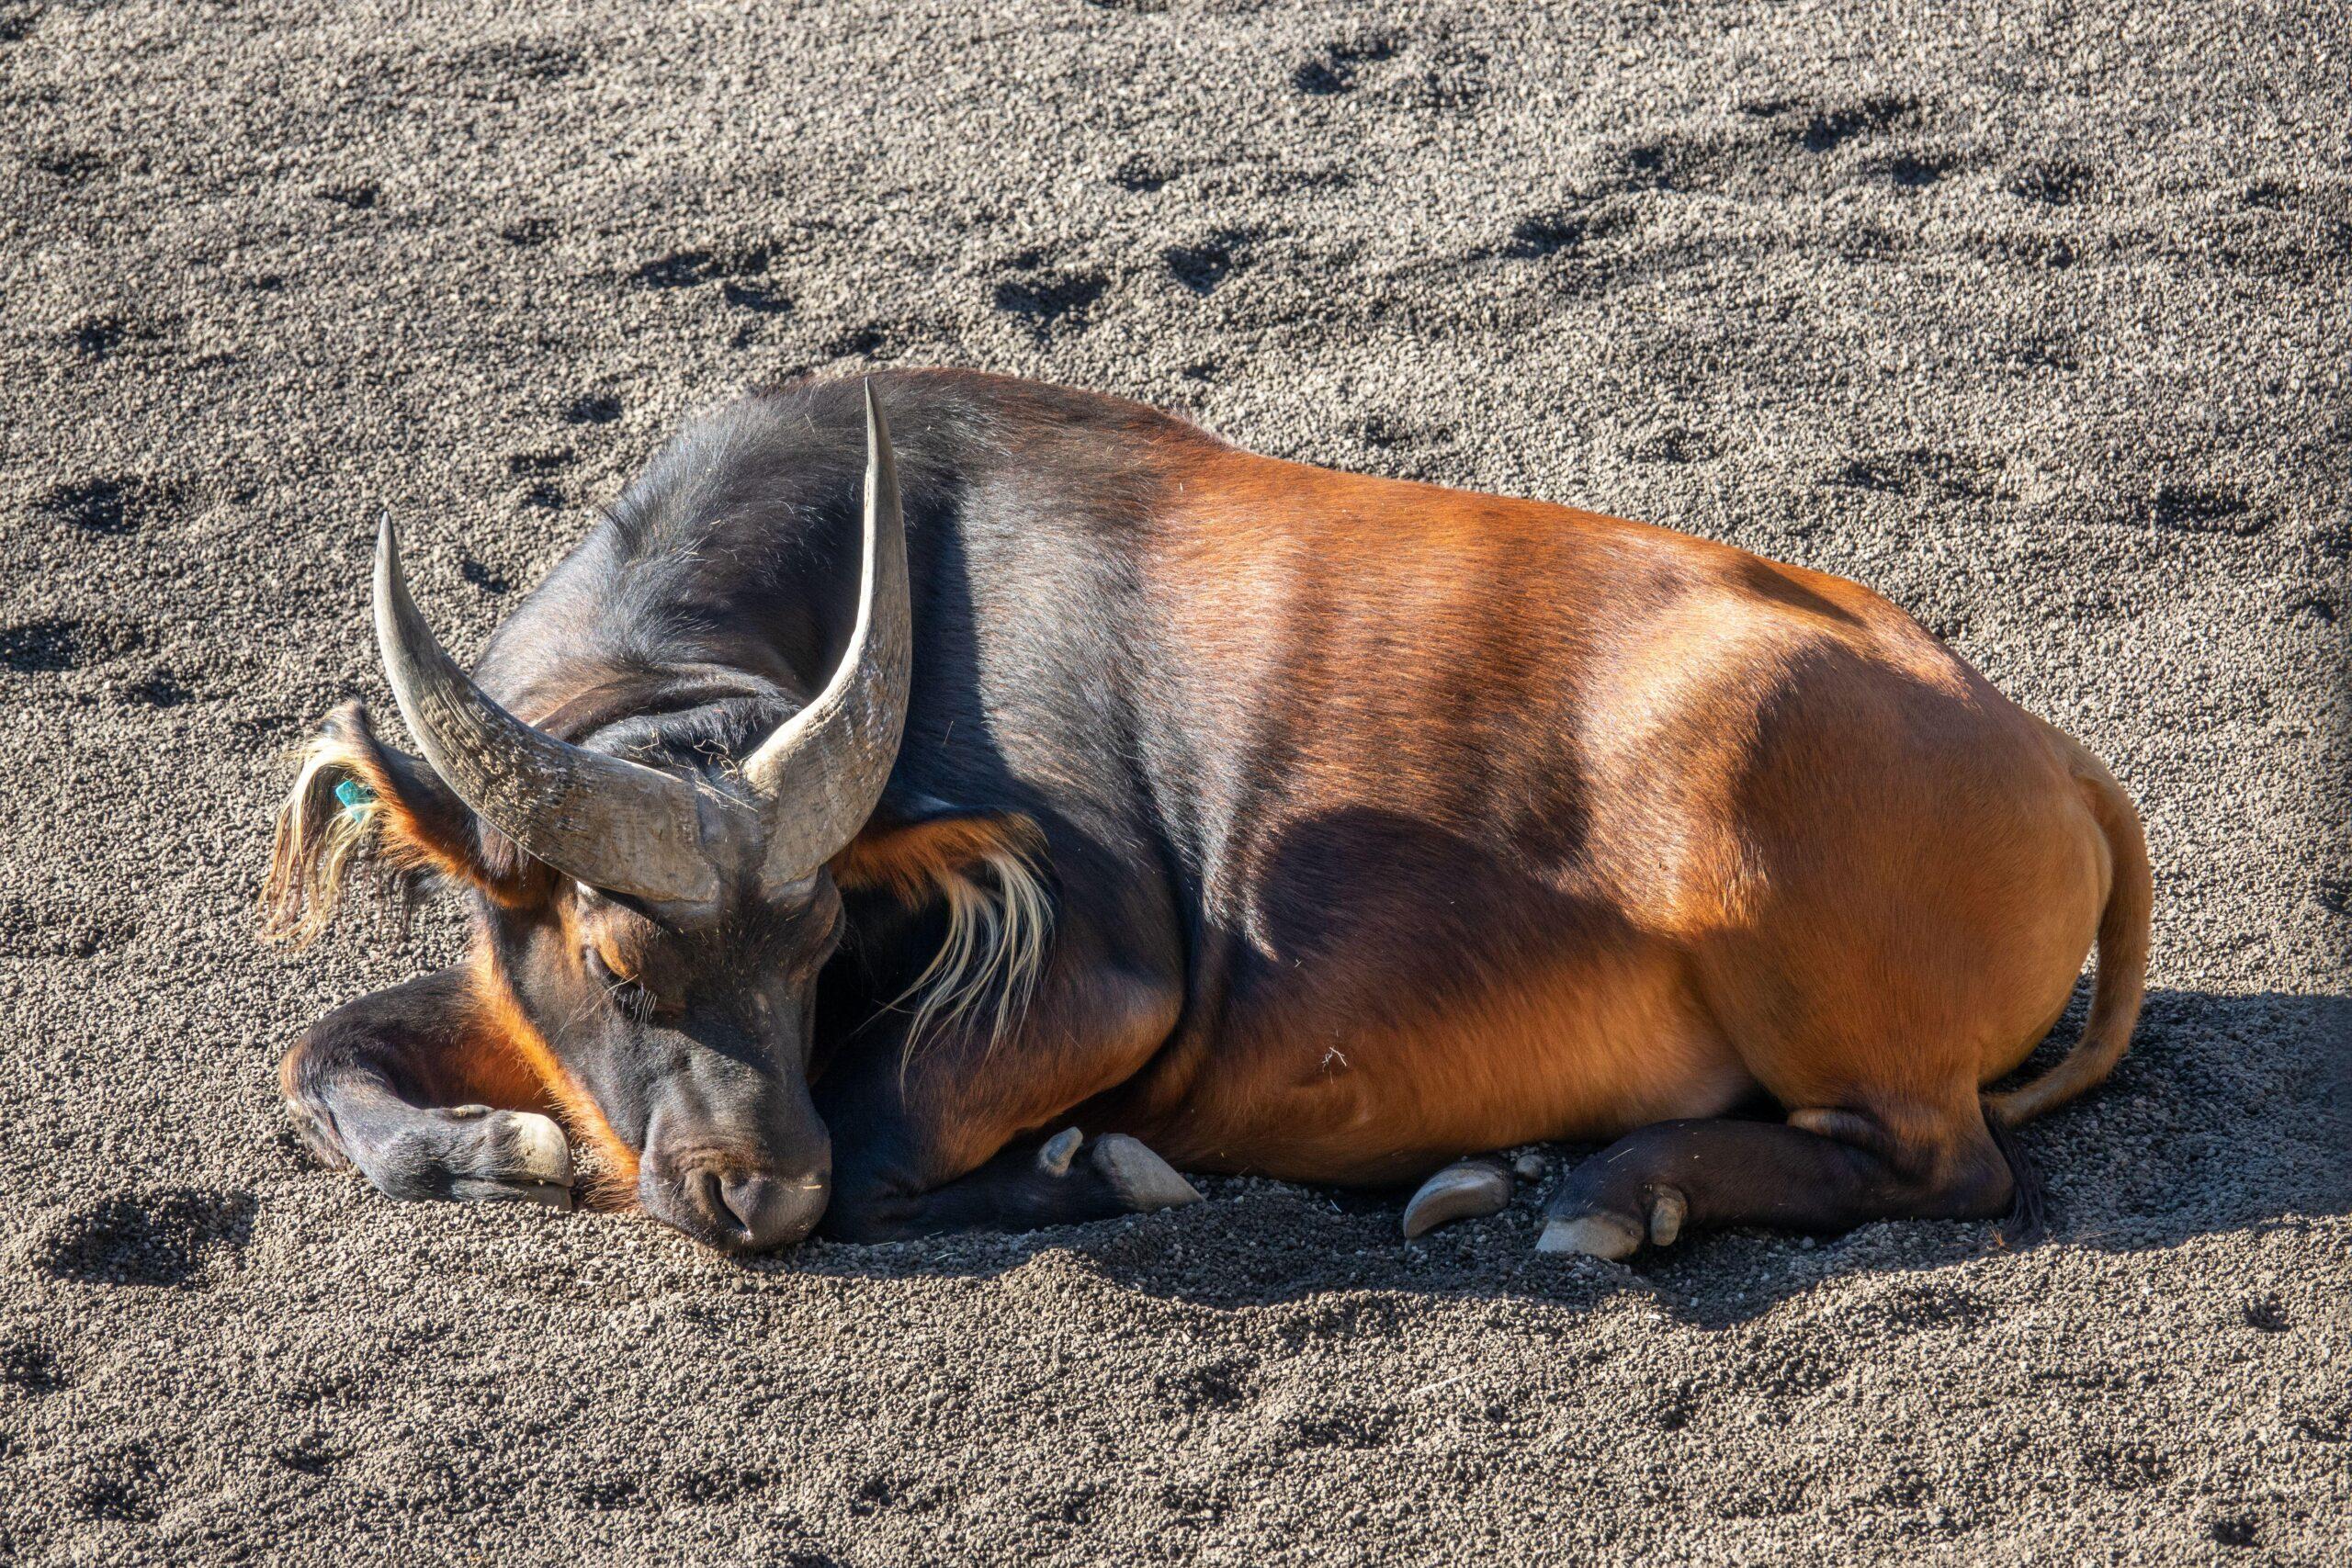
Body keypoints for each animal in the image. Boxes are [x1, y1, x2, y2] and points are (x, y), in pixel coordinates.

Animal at [264, 370, 2149, 1257]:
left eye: (815, 948)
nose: (757, 1192)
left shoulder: (1108, 977)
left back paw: (1611, 1189)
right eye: (619, 960)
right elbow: (319, 1047)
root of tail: (2050, 752)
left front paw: (1093, 1169)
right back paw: (1527, 1166)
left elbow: (889, 1145)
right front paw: (484, 1143)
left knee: (1946, 1164)